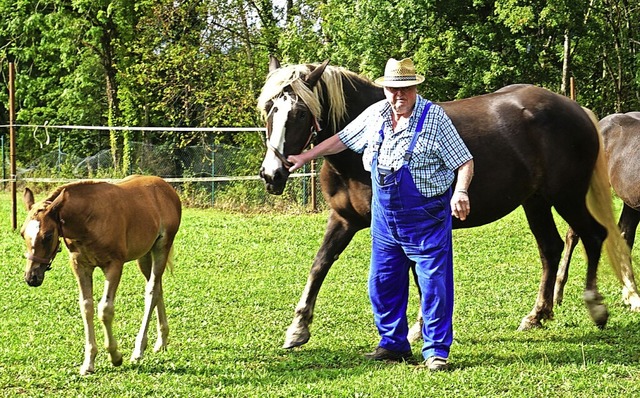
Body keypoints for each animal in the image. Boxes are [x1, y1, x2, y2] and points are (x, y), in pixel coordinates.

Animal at [21, 176, 181, 374]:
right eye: (22, 233)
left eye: (48, 235)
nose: (31, 277)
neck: (89, 219)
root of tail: (167, 188)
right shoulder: (80, 266)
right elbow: (86, 307)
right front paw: (89, 362)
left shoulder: (114, 266)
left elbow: (105, 309)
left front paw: (115, 356)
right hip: (144, 255)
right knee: (158, 287)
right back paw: (161, 341)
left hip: (161, 248)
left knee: (151, 291)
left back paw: (138, 350)